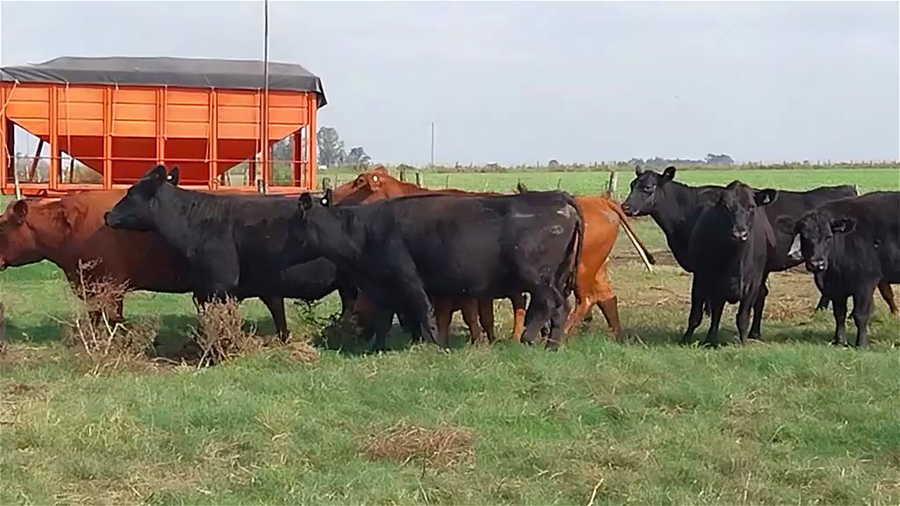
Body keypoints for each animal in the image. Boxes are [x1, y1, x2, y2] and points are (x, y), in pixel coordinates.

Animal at [290, 187, 585, 352]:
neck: (364, 231)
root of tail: (558, 196)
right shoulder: (384, 286)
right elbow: (383, 320)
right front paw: (377, 348)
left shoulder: (409, 280)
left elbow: (424, 312)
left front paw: (434, 345)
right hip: (557, 276)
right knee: (562, 307)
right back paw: (552, 345)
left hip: (537, 277)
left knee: (548, 303)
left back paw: (527, 339)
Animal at [682, 181, 777, 346]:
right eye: (726, 207)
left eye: (751, 206)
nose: (739, 234)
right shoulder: (706, 279)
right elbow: (710, 313)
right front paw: (709, 340)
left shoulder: (753, 283)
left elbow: (743, 316)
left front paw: (743, 342)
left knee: (760, 298)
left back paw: (755, 333)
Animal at [782, 191, 900, 347]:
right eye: (804, 237)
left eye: (828, 237)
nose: (817, 263)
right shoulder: (835, 287)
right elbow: (839, 314)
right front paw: (839, 341)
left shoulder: (866, 281)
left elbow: (860, 314)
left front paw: (861, 343)